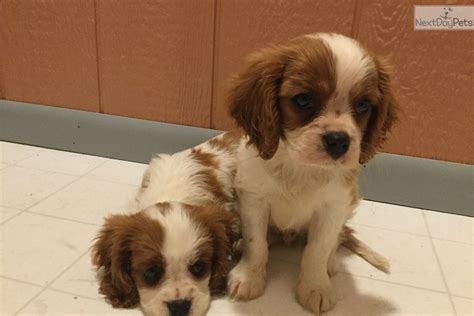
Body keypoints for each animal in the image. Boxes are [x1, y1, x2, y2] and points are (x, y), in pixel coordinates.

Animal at [226, 32, 396, 314]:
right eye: (303, 100)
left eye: (363, 105)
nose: (338, 140)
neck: (301, 167)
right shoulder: (253, 199)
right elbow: (256, 242)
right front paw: (249, 277)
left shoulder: (333, 208)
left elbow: (318, 249)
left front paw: (316, 287)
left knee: (337, 238)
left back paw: (330, 264)